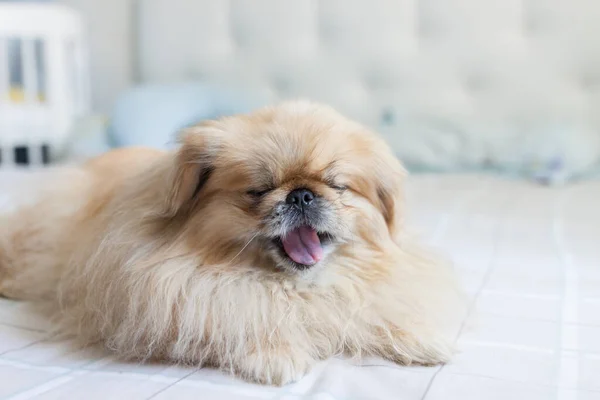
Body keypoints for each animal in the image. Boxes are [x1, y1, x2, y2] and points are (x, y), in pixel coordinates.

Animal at [0, 101, 464, 386]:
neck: (296, 287)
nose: (302, 194)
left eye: (336, 186)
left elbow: (381, 307)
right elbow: (237, 319)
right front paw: (275, 354)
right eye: (259, 190)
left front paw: (420, 337)